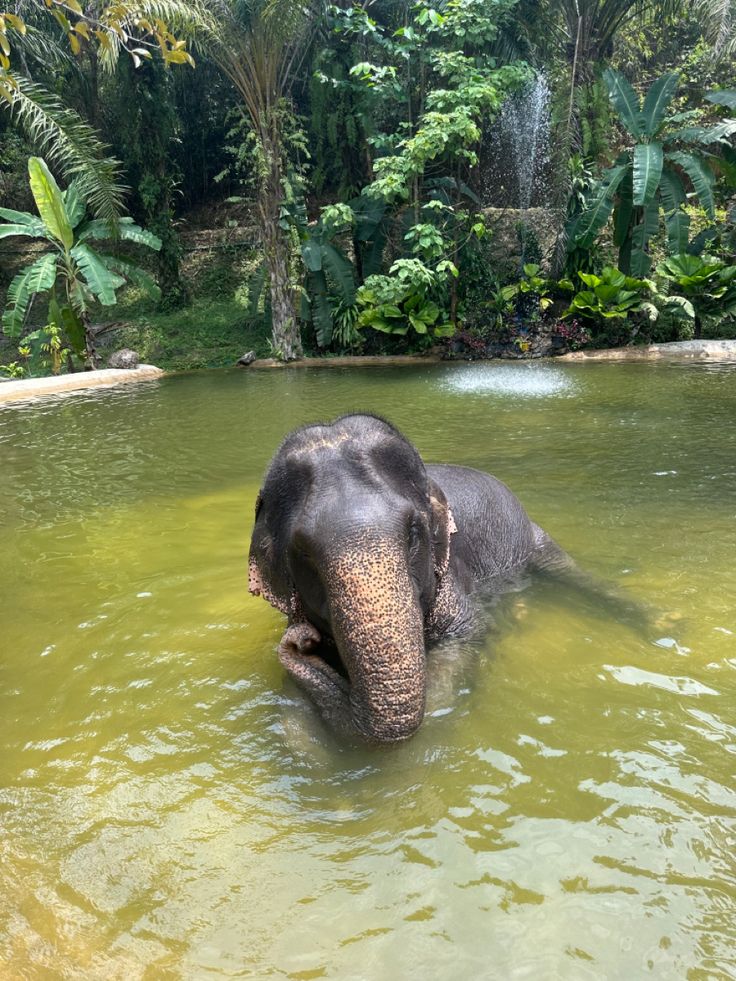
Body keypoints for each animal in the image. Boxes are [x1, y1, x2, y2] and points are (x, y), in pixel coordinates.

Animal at [250, 412, 648, 744]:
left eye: (413, 532)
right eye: (302, 552)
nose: (303, 639)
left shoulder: (454, 583)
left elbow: (460, 651)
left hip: (528, 535)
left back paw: (658, 623)